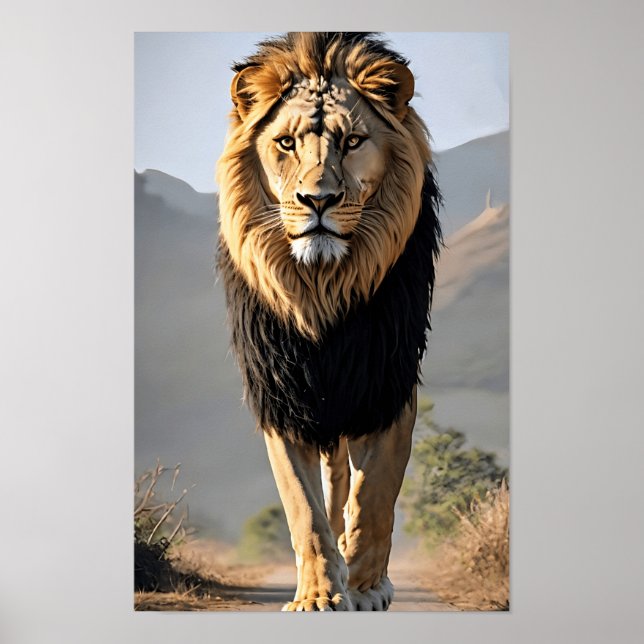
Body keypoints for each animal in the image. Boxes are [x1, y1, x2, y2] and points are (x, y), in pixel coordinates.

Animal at [216, 32, 441, 611]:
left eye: (354, 140)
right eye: (287, 144)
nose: (317, 200)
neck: (320, 287)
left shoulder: (386, 385)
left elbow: (374, 498)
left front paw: (364, 588)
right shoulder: (282, 394)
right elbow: (304, 508)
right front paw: (318, 594)